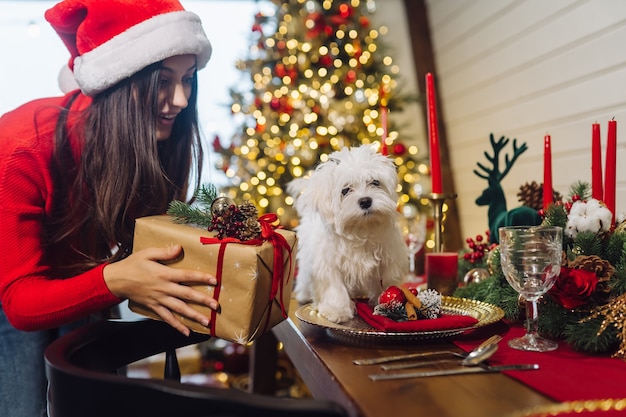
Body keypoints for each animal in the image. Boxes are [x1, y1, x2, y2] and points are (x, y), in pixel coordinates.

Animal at [286, 145, 408, 324]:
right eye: (345, 190)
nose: (365, 201)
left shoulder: (388, 259)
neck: (361, 229)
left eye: (375, 182)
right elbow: (334, 287)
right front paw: (337, 310)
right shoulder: (329, 263)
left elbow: (385, 282)